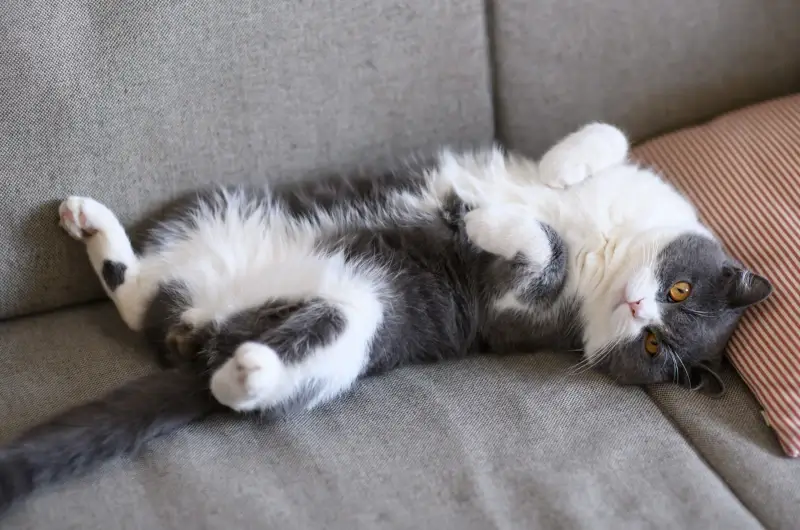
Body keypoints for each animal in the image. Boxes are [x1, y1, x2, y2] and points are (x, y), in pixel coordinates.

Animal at [0, 122, 768, 512]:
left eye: (654, 347)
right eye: (678, 293)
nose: (640, 308)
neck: (603, 251)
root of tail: (203, 335)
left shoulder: (512, 315)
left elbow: (540, 253)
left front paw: (481, 218)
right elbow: (601, 138)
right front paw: (557, 173)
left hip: (361, 315)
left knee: (254, 367)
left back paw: (246, 372)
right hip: (212, 204)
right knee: (139, 294)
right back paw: (90, 222)